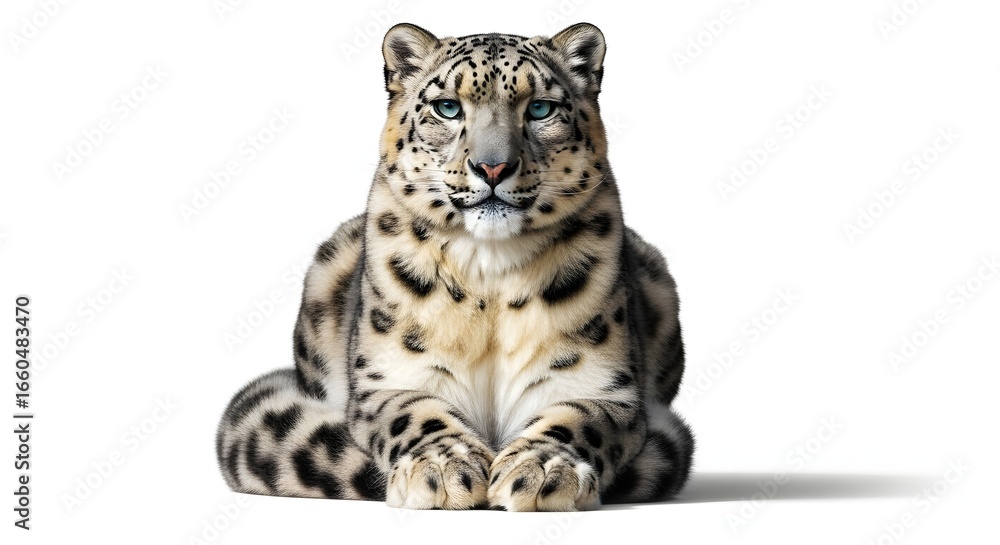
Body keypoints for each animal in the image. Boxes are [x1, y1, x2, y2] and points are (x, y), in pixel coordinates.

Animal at [215, 22, 694, 511]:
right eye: (447, 107)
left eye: (540, 108)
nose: (493, 166)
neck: (491, 273)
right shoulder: (389, 376)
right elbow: (413, 413)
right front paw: (444, 468)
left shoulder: (599, 382)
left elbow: (579, 419)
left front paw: (541, 470)